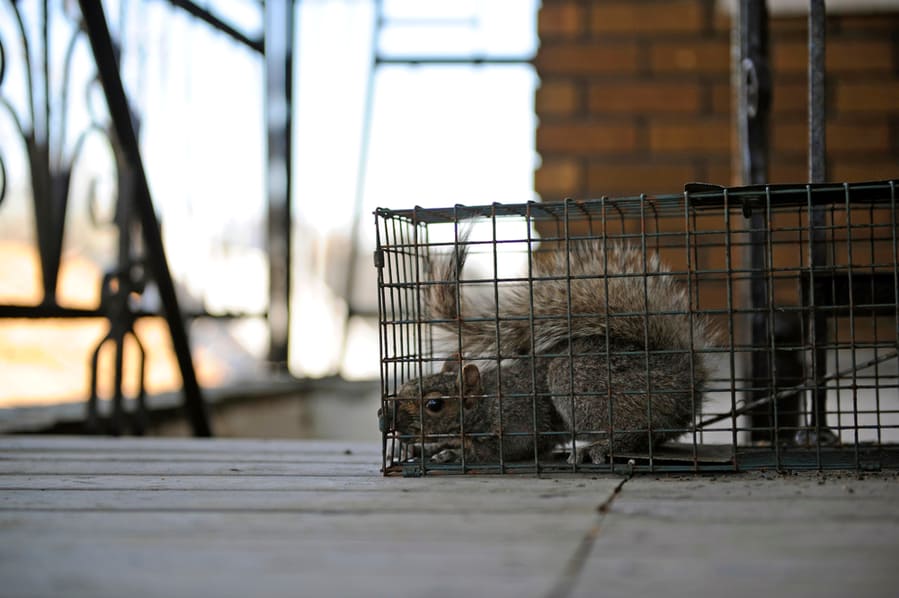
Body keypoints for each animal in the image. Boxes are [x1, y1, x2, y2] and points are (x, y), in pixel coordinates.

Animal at [384, 237, 712, 466]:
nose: (390, 420)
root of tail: (681, 371)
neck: (486, 402)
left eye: (435, 404)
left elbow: (508, 449)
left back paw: (600, 447)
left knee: (639, 430)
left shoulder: (519, 419)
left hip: (578, 382)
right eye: (406, 385)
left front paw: (457, 452)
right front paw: (423, 447)